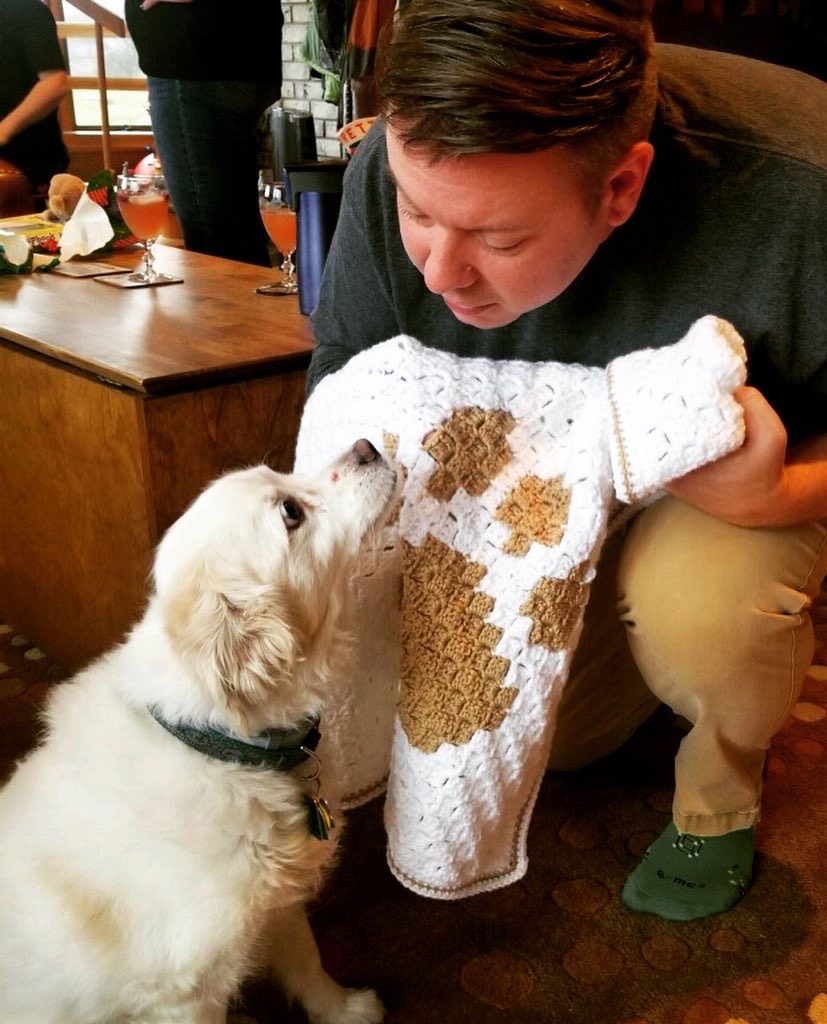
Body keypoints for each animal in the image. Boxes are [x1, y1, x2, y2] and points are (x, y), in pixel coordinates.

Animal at [0, 440, 397, 1024]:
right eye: (290, 513)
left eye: (280, 474)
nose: (368, 447)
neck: (223, 750)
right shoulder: (183, 993)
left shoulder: (277, 906)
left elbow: (307, 959)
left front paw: (341, 1009)